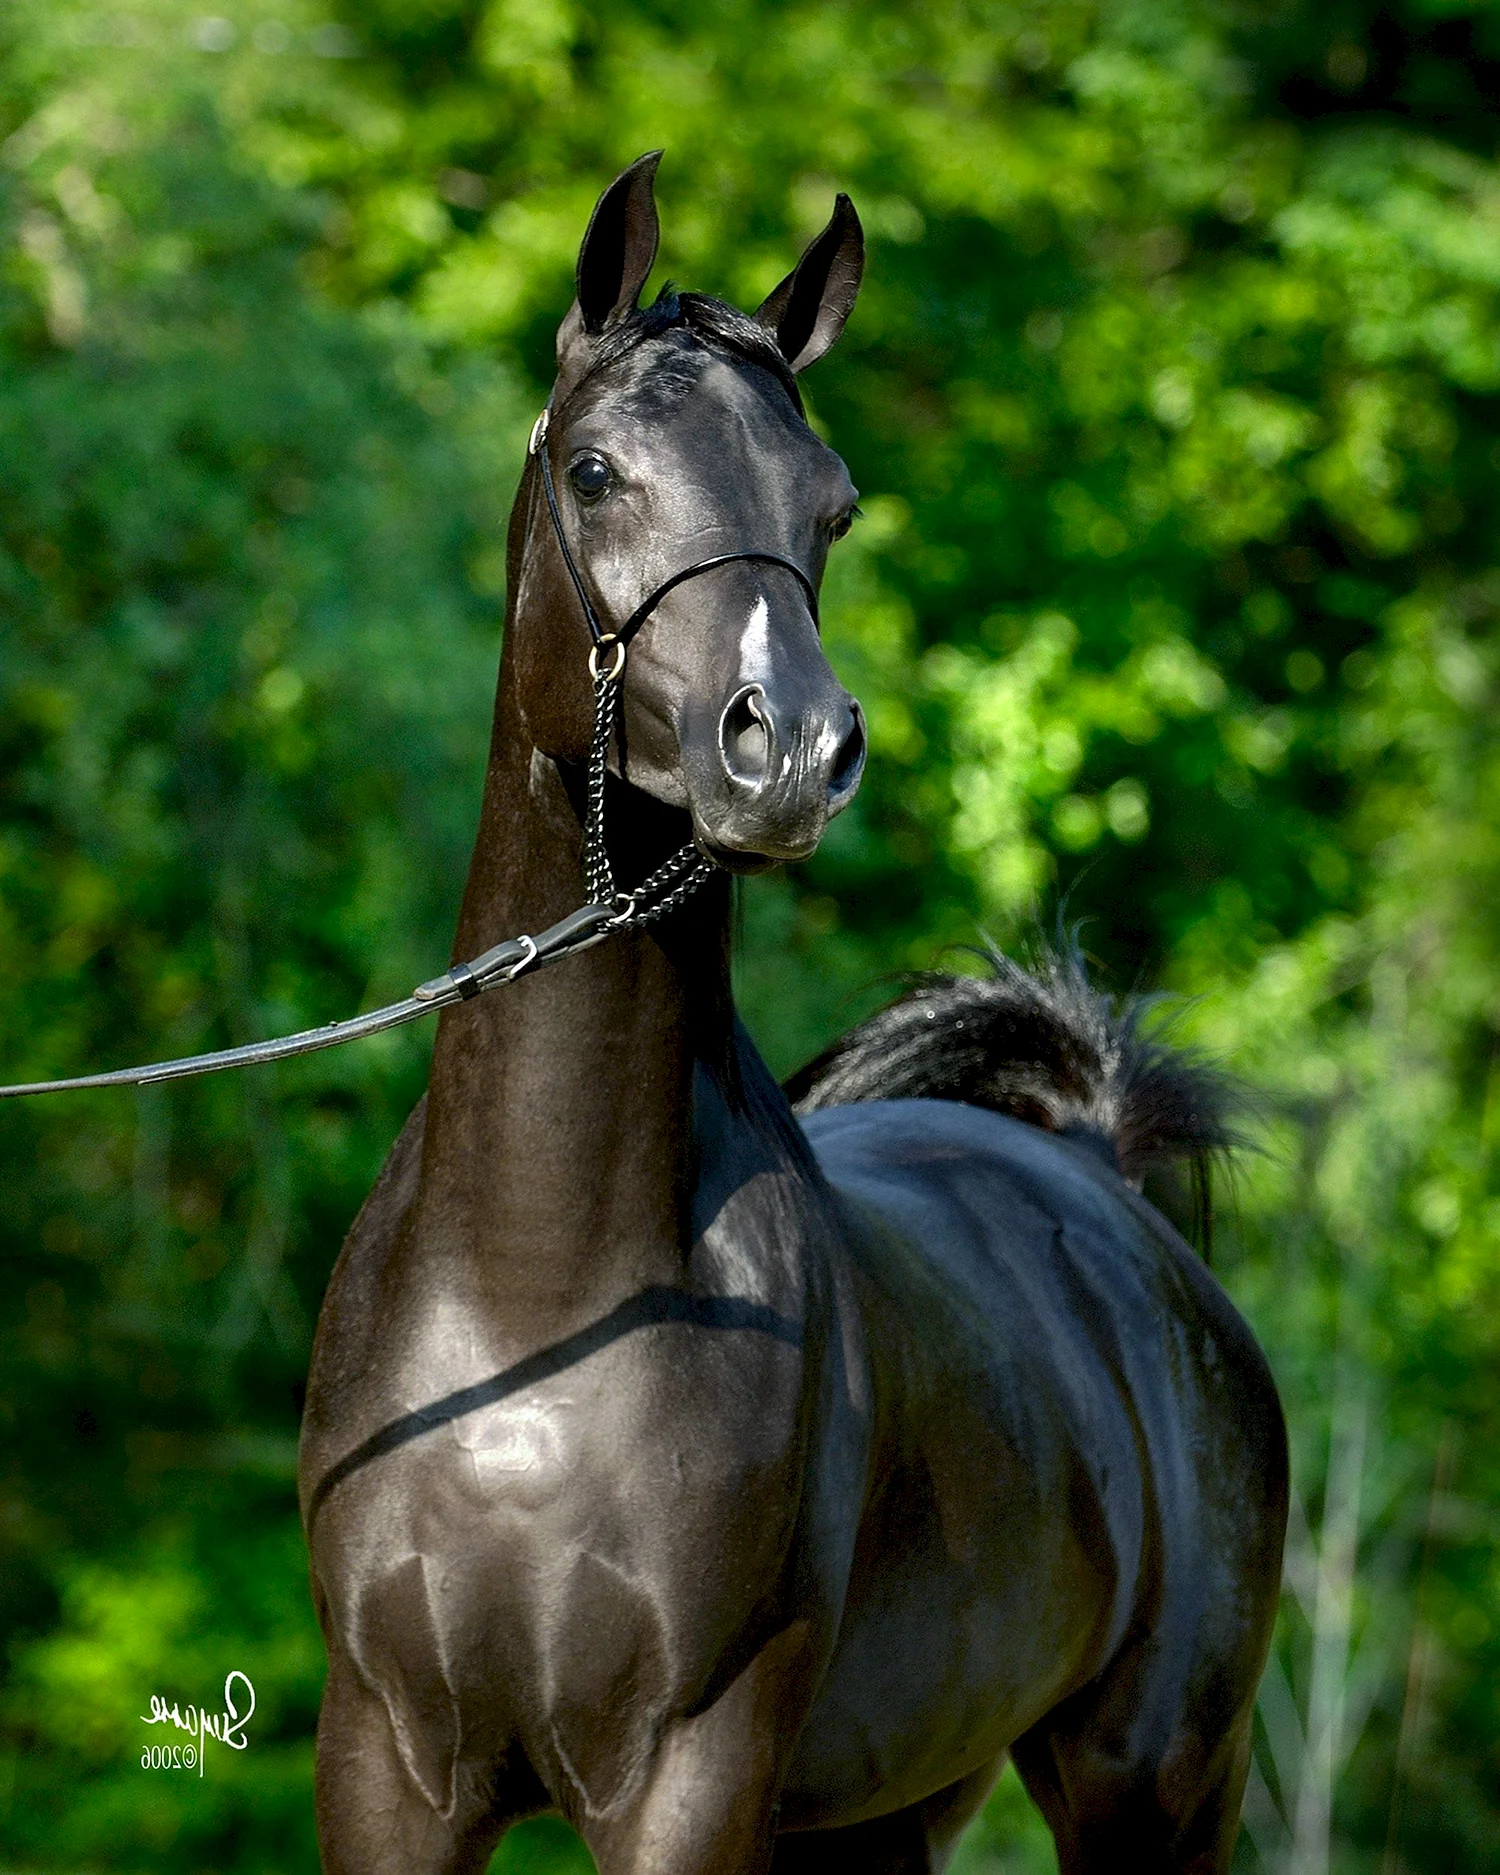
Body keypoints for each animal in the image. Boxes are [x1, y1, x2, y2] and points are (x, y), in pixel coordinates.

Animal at [298, 153, 1282, 1867]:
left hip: (1156, 1784)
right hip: (890, 1803)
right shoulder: (391, 1762)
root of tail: (1101, 1177)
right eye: (599, 470)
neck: (539, 1296)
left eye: (833, 504)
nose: (793, 749)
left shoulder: (694, 1772)